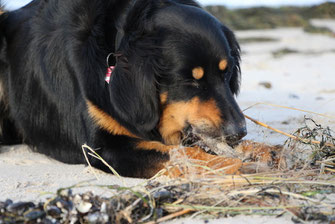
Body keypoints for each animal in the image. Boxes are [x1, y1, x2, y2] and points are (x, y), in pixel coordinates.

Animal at [0, 0, 247, 178]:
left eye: (226, 74)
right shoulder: (103, 147)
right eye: (190, 81)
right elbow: (182, 153)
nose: (239, 132)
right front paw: (234, 165)